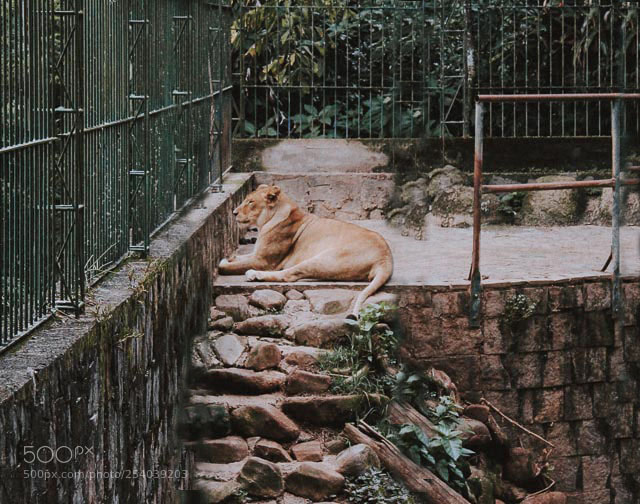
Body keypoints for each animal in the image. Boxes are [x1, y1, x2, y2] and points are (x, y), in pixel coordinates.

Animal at [218, 184, 394, 318]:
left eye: (250, 202)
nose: (233, 213)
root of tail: (386, 258)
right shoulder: (256, 254)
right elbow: (240, 258)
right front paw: (231, 257)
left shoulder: (264, 261)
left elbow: (225, 267)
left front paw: (225, 262)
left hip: (323, 258)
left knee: (288, 275)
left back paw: (254, 275)